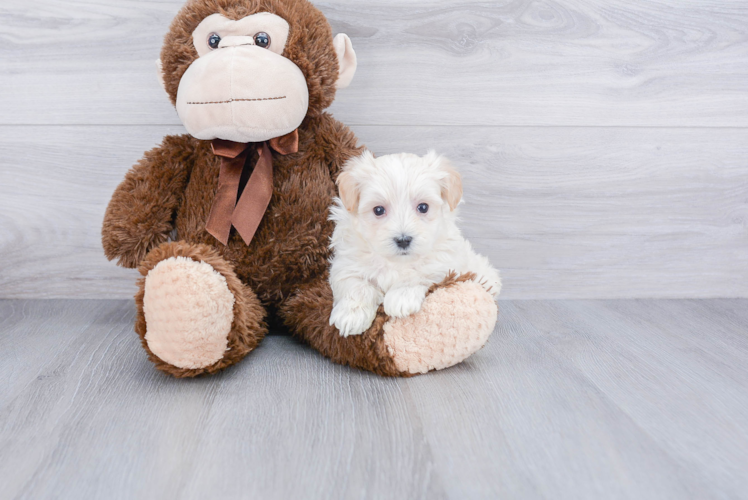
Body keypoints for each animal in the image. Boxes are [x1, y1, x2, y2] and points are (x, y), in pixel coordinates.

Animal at [328, 148, 500, 336]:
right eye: (378, 210)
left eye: (423, 207)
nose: (403, 240)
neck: (396, 262)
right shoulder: (346, 263)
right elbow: (356, 285)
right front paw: (351, 315)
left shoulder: (444, 262)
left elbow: (420, 272)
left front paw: (402, 297)